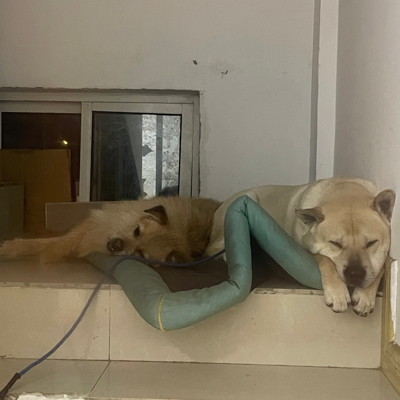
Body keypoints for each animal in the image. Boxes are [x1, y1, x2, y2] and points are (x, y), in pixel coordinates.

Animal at [207, 177, 395, 316]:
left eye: (371, 243)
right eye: (336, 243)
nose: (355, 274)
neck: (344, 187)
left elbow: (382, 265)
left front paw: (365, 296)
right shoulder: (304, 250)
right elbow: (325, 259)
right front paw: (337, 293)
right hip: (247, 198)